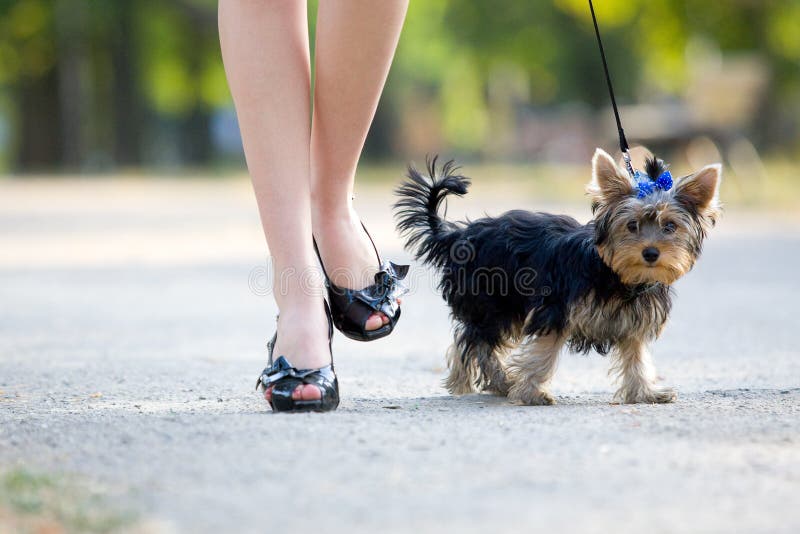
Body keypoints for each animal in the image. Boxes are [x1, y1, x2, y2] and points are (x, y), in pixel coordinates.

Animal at [396, 149, 720, 404]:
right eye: (631, 225)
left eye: (670, 227)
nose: (651, 253)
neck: (615, 275)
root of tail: (458, 235)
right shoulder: (556, 308)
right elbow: (544, 350)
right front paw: (531, 393)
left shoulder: (634, 318)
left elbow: (636, 354)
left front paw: (644, 393)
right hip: (492, 300)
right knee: (478, 340)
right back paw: (498, 381)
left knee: (470, 339)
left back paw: (473, 382)